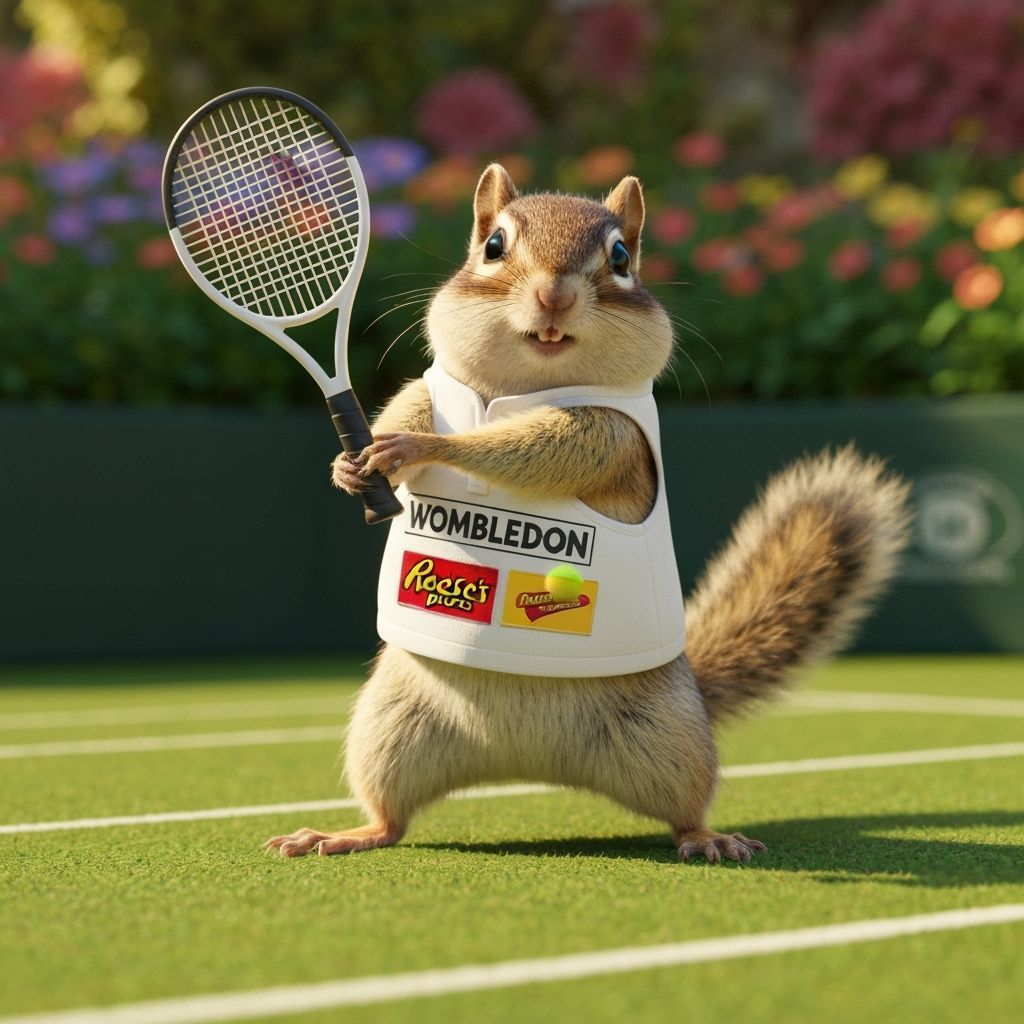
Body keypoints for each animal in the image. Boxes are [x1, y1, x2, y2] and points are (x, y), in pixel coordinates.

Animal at [266, 163, 911, 864]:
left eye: (621, 258)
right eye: (493, 245)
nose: (553, 297)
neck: (521, 388)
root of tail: (525, 763)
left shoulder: (611, 435)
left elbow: (533, 447)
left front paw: (426, 449)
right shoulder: (428, 389)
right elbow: (403, 410)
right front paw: (352, 465)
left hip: (673, 742)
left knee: (683, 810)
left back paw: (709, 838)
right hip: (387, 731)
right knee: (390, 817)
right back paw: (339, 834)